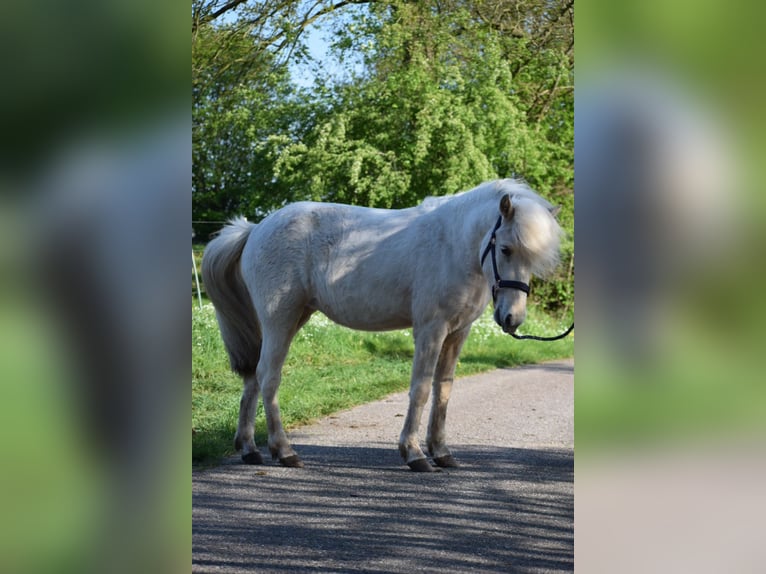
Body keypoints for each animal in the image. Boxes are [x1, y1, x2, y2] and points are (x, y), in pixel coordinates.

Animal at [202, 179, 564, 472]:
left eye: (533, 259)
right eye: (505, 249)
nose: (512, 319)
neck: (452, 245)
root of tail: (255, 229)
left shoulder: (458, 333)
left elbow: (443, 390)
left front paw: (442, 452)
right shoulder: (431, 329)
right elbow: (421, 389)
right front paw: (414, 454)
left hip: (292, 318)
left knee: (253, 378)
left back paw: (250, 449)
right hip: (281, 319)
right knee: (268, 377)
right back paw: (284, 451)